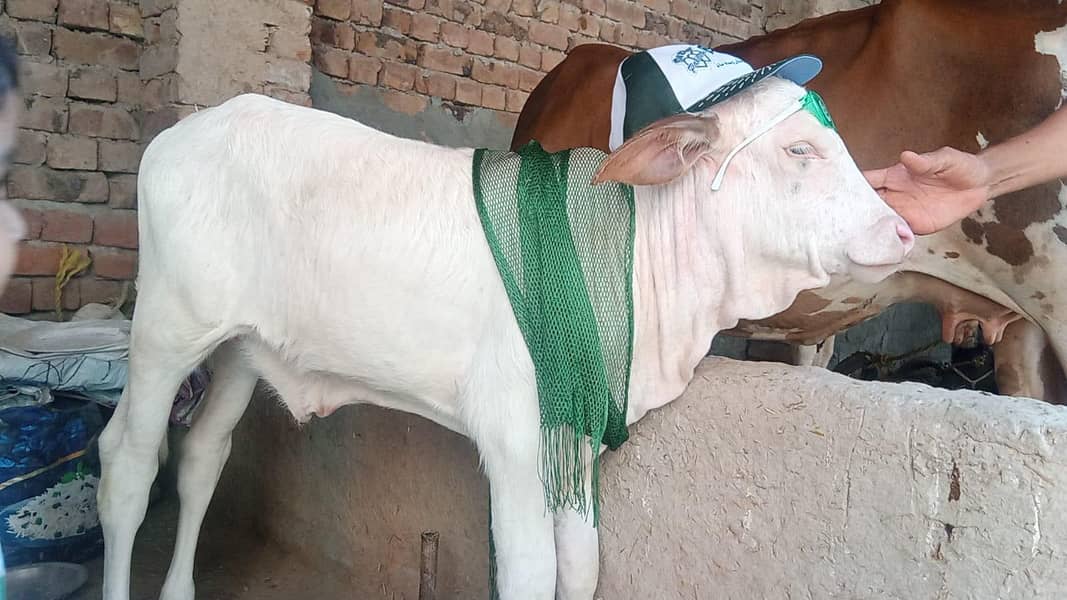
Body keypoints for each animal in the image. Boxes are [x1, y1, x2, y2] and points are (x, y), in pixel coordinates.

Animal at [98, 81, 913, 600]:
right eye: (800, 151)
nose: (901, 230)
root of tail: (191, 126)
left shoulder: (576, 435)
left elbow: (581, 568)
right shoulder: (514, 435)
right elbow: (528, 574)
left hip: (239, 344)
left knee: (203, 456)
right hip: (165, 328)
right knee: (128, 469)